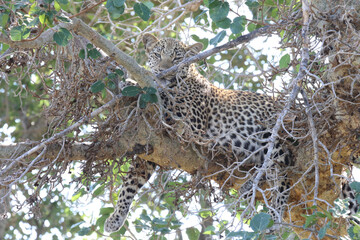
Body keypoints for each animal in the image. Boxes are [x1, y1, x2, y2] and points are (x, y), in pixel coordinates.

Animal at [103, 33, 296, 232]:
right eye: (157, 55)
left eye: (177, 58)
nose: (165, 70)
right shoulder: (152, 150)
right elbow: (130, 183)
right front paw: (116, 217)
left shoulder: (190, 124)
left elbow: (163, 96)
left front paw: (132, 83)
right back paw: (249, 186)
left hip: (272, 139)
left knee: (282, 179)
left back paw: (274, 216)